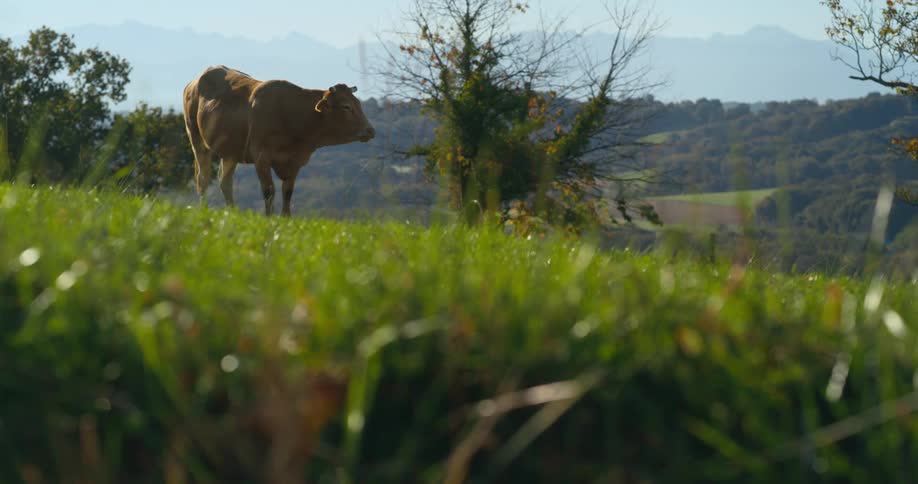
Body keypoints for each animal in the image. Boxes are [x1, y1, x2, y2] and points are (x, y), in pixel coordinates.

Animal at [182, 65, 376, 216]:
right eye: (346, 106)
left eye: (358, 104)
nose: (370, 130)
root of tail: (194, 82)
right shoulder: (261, 157)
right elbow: (269, 191)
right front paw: (269, 219)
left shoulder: (295, 162)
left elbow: (287, 192)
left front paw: (286, 219)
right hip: (197, 140)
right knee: (202, 179)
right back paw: (205, 210)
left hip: (230, 152)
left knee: (225, 181)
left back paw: (232, 212)